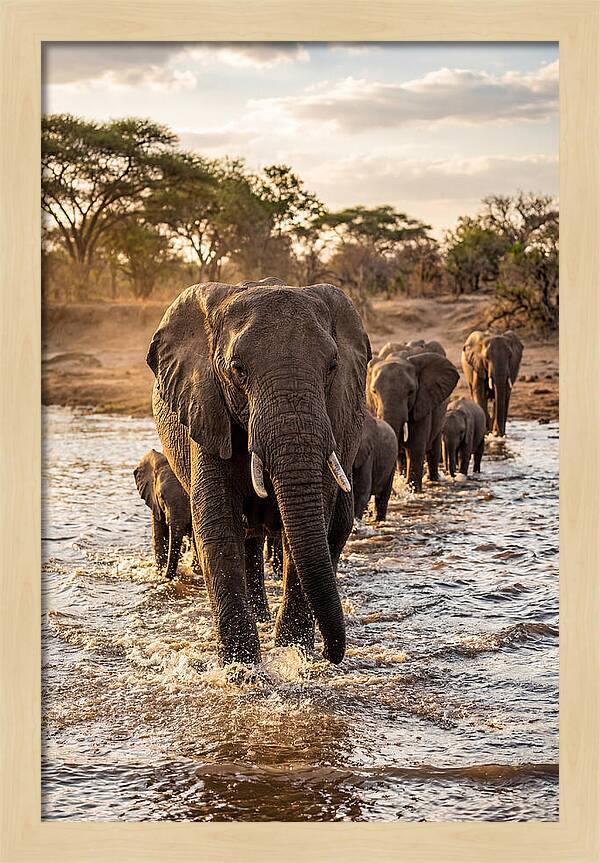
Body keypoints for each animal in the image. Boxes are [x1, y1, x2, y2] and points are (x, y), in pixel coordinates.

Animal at [134, 449, 196, 580]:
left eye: (190, 498)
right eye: (161, 496)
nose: (167, 576)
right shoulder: (154, 502)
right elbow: (159, 537)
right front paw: (160, 572)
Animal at [146, 277, 371, 667]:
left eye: (332, 366)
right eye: (237, 369)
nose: (333, 655)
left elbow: (313, 520)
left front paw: (294, 654)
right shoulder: (206, 406)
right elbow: (217, 524)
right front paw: (242, 669)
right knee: (247, 535)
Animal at [367, 343, 459, 493]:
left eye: (411, 392)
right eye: (374, 391)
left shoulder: (422, 402)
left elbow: (415, 448)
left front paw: (414, 491)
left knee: (433, 447)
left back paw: (434, 480)